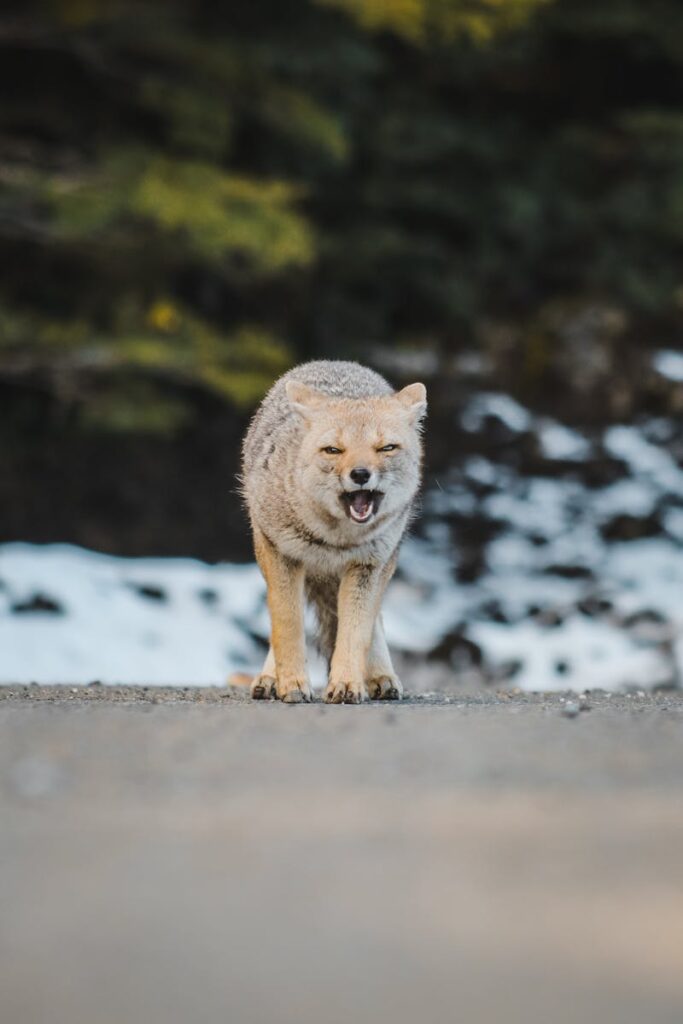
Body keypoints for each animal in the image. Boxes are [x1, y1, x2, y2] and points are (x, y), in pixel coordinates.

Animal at [240, 360, 427, 703]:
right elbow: (286, 627)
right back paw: (270, 677)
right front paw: (292, 684)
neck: (333, 542)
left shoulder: (367, 567)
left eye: (386, 448)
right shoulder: (282, 557)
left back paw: (380, 676)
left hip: (382, 568)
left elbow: (355, 634)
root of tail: (333, 362)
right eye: (334, 450)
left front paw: (347, 684)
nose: (360, 474)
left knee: (374, 622)